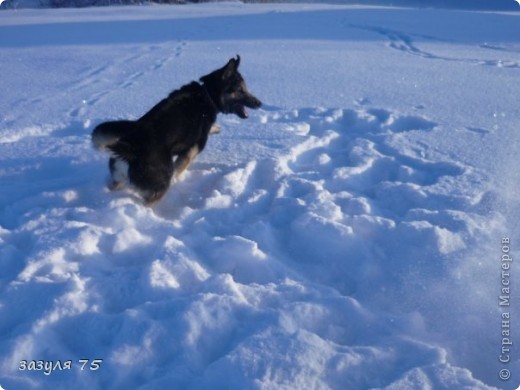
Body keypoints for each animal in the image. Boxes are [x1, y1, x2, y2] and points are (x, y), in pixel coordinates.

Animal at [91, 56, 262, 207]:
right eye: (240, 90)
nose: (260, 103)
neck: (207, 95)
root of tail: (131, 151)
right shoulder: (191, 151)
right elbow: (181, 168)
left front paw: (216, 128)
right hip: (160, 185)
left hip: (118, 180)